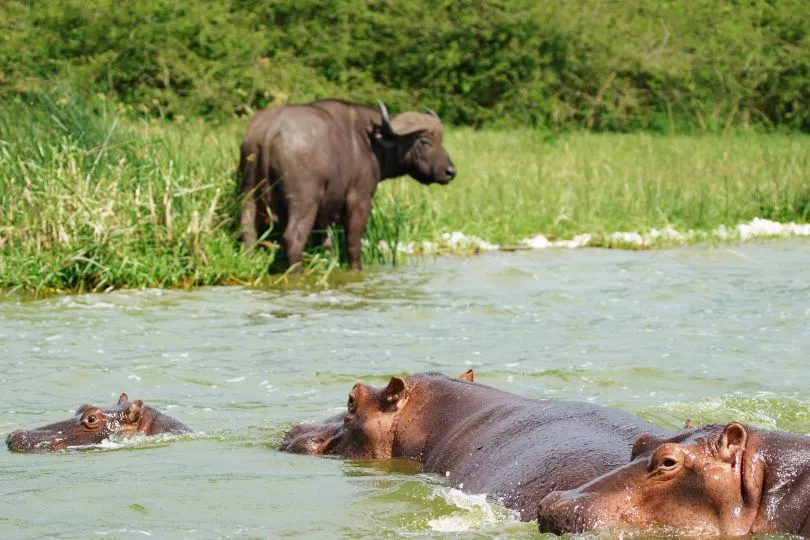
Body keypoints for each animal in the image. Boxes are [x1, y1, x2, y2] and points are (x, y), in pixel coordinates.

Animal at [238, 98, 454, 270]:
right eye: (424, 141)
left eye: (441, 140)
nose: (450, 171)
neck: (370, 143)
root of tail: (270, 129)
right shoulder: (360, 200)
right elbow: (352, 242)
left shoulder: (325, 212)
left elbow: (327, 243)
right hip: (304, 202)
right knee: (293, 238)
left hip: (248, 194)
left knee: (248, 232)